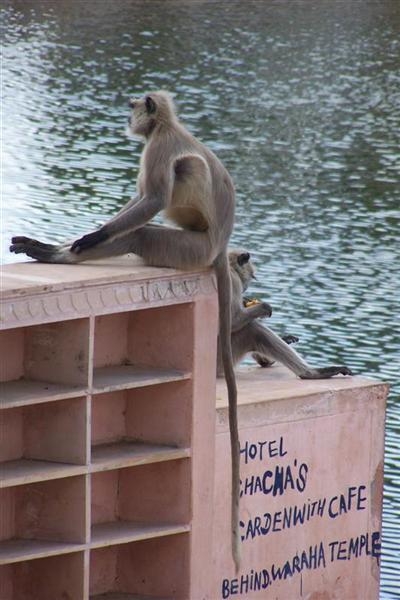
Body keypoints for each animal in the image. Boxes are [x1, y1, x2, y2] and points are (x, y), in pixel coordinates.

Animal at [10, 91, 242, 568]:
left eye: (136, 107)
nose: (128, 116)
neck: (166, 126)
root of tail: (219, 248)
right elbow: (139, 198)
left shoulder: (158, 147)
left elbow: (150, 199)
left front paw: (89, 238)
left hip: (186, 248)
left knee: (158, 209)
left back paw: (59, 254)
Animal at [219, 251, 354, 378]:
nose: (246, 287)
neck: (230, 266)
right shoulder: (233, 280)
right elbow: (233, 320)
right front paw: (264, 307)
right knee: (253, 328)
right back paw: (311, 373)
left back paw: (268, 360)